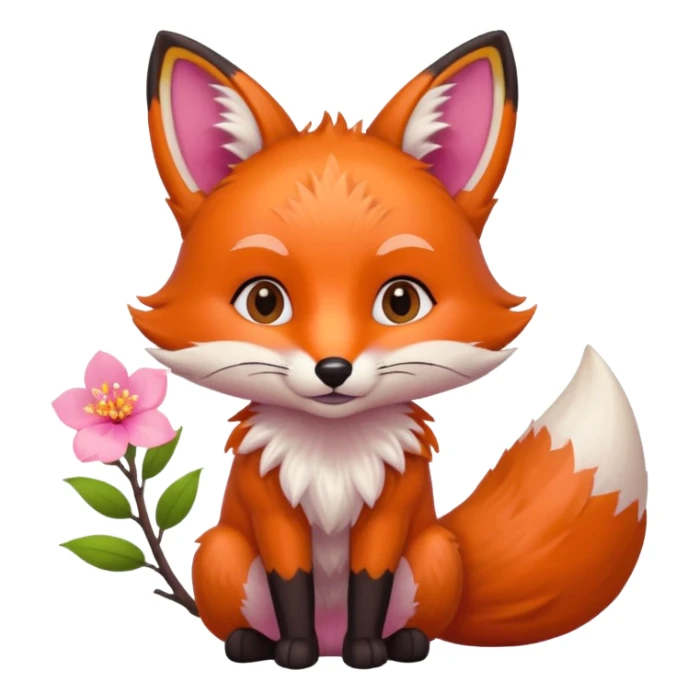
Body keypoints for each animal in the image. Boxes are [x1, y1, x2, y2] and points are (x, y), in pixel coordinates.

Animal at [129, 29, 648, 670]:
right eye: (264, 302)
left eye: (400, 301)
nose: (333, 369)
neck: (332, 457)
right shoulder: (273, 511)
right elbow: (292, 583)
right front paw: (293, 651)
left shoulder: (390, 513)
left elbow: (367, 584)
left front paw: (368, 651)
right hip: (221, 552)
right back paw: (256, 643)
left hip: (434, 552)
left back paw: (403, 642)